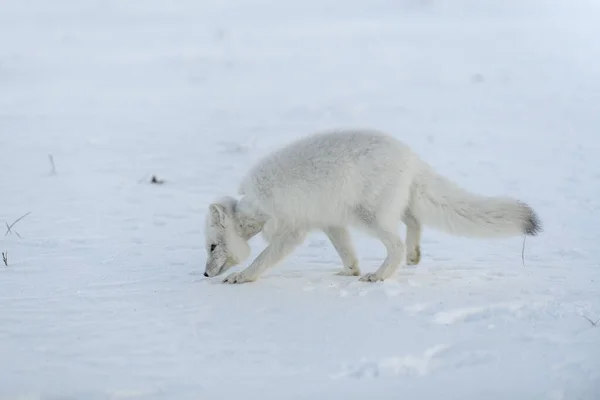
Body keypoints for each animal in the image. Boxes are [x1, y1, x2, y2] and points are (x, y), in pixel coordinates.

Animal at [204, 129, 540, 284]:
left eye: (211, 246)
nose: (206, 275)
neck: (256, 207)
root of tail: (411, 156)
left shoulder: (291, 230)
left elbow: (263, 258)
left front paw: (242, 277)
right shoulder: (331, 222)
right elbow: (346, 252)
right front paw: (348, 272)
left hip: (369, 216)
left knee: (397, 243)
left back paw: (380, 275)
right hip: (386, 207)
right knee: (414, 221)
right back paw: (414, 256)